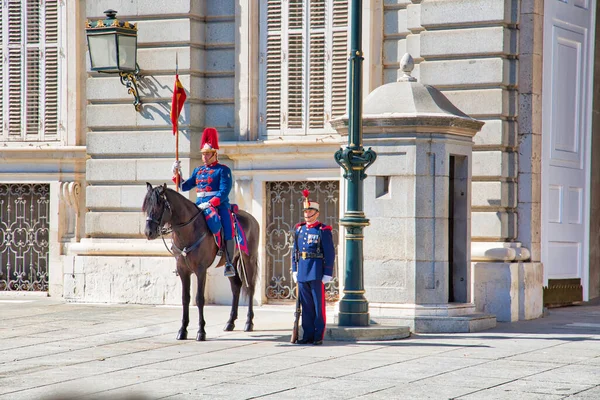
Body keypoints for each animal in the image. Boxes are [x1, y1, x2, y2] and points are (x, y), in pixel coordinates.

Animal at [145, 183, 260, 340]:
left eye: (158, 205)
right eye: (146, 205)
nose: (148, 232)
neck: (188, 231)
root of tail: (252, 218)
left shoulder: (201, 270)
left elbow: (200, 298)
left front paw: (201, 331)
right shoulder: (183, 270)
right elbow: (185, 298)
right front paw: (182, 330)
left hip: (249, 259)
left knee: (250, 287)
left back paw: (249, 322)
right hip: (231, 263)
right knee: (236, 286)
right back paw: (230, 322)